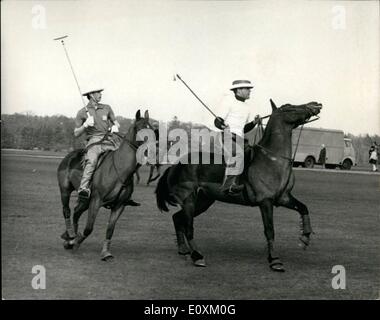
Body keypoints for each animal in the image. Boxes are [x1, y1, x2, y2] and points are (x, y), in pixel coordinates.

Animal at [57, 110, 152, 260]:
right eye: (140, 128)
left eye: (154, 129)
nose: (154, 148)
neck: (120, 170)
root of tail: (69, 155)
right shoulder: (96, 201)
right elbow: (89, 228)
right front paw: (76, 242)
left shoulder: (119, 206)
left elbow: (110, 230)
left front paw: (105, 252)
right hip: (65, 190)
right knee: (67, 210)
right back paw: (71, 235)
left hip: (85, 200)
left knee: (76, 212)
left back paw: (70, 238)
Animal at [156, 100, 322, 272]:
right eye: (289, 107)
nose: (316, 104)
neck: (273, 159)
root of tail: (174, 166)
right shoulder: (265, 201)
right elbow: (270, 230)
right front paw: (275, 260)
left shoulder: (283, 198)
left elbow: (303, 208)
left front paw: (305, 237)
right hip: (189, 199)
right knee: (188, 227)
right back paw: (197, 257)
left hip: (203, 201)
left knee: (177, 218)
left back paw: (183, 250)